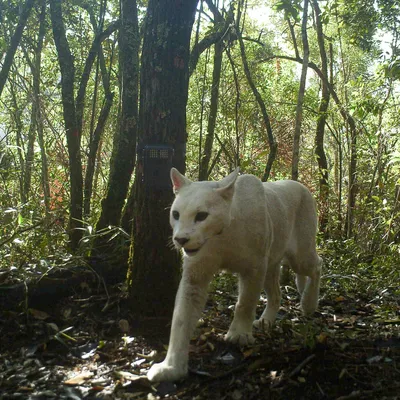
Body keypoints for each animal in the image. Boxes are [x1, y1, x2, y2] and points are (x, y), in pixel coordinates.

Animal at [147, 167, 322, 382]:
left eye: (202, 215)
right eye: (176, 214)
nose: (181, 239)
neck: (223, 234)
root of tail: (300, 185)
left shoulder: (254, 268)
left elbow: (245, 302)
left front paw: (239, 335)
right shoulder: (195, 275)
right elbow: (181, 318)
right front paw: (171, 367)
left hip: (299, 256)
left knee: (317, 266)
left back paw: (308, 303)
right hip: (272, 264)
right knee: (276, 293)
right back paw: (266, 321)